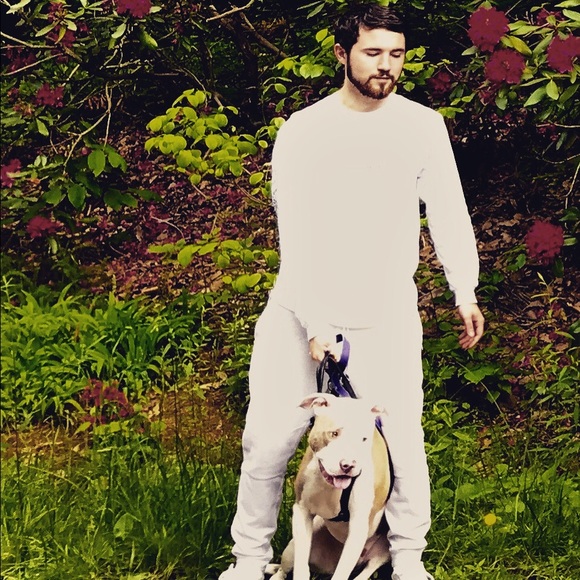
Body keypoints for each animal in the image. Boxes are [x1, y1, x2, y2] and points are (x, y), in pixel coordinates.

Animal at [268, 392, 392, 580]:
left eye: (364, 439)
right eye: (334, 433)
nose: (348, 465)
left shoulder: (357, 528)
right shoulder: (302, 511)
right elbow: (301, 567)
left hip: (383, 548)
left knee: (367, 570)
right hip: (295, 544)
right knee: (284, 568)